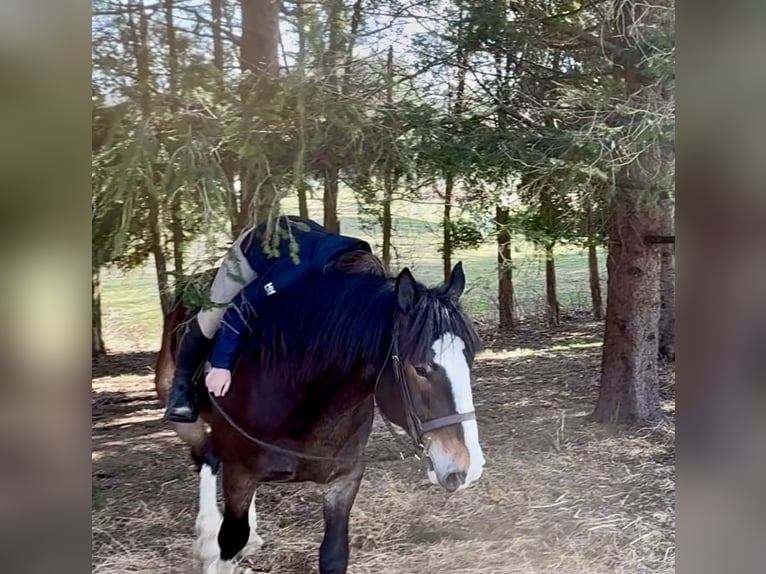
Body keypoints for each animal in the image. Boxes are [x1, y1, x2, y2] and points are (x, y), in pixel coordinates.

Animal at [154, 255, 485, 574]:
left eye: (469, 358)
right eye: (420, 368)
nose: (467, 466)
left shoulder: (344, 479)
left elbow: (333, 556)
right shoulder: (239, 473)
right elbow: (231, 539)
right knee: (207, 456)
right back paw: (208, 534)